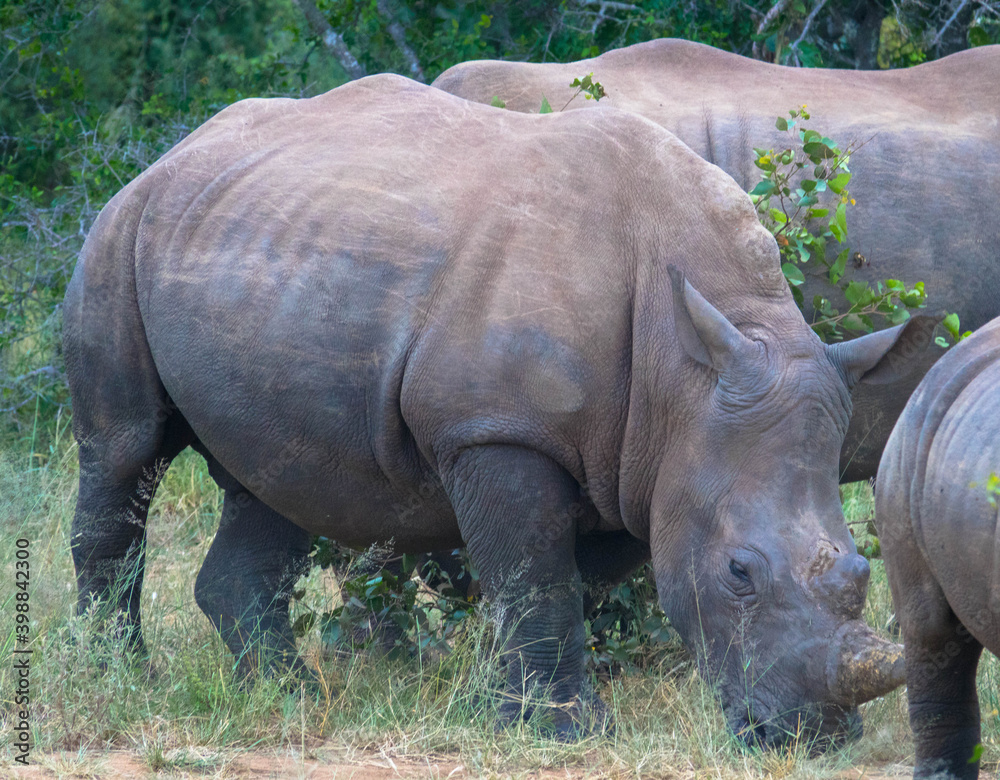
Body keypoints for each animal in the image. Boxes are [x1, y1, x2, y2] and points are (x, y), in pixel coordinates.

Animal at [65, 74, 921, 746]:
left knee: (276, 478)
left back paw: (293, 697)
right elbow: (537, 576)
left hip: (255, 253)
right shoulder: (497, 431)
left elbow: (548, 581)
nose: (814, 738)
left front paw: (500, 707)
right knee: (126, 449)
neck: (685, 376)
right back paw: (121, 677)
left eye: (861, 566)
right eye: (740, 572)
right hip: (119, 236)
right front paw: (568, 729)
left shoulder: (636, 454)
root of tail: (169, 157)